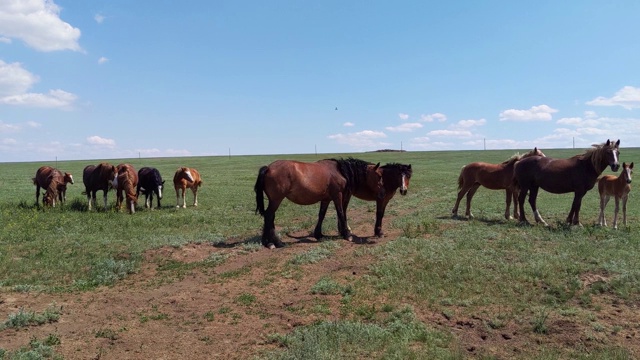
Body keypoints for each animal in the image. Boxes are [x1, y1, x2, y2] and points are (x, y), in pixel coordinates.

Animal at [254, 159, 382, 249]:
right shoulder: (337, 196)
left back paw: (270, 242)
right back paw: (273, 243)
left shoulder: (326, 199)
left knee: (270, 217)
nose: (382, 192)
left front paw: (319, 234)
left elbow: (321, 215)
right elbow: (340, 213)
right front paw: (347, 235)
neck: (339, 171)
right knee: (269, 216)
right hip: (276, 200)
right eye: (379, 176)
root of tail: (268, 168)